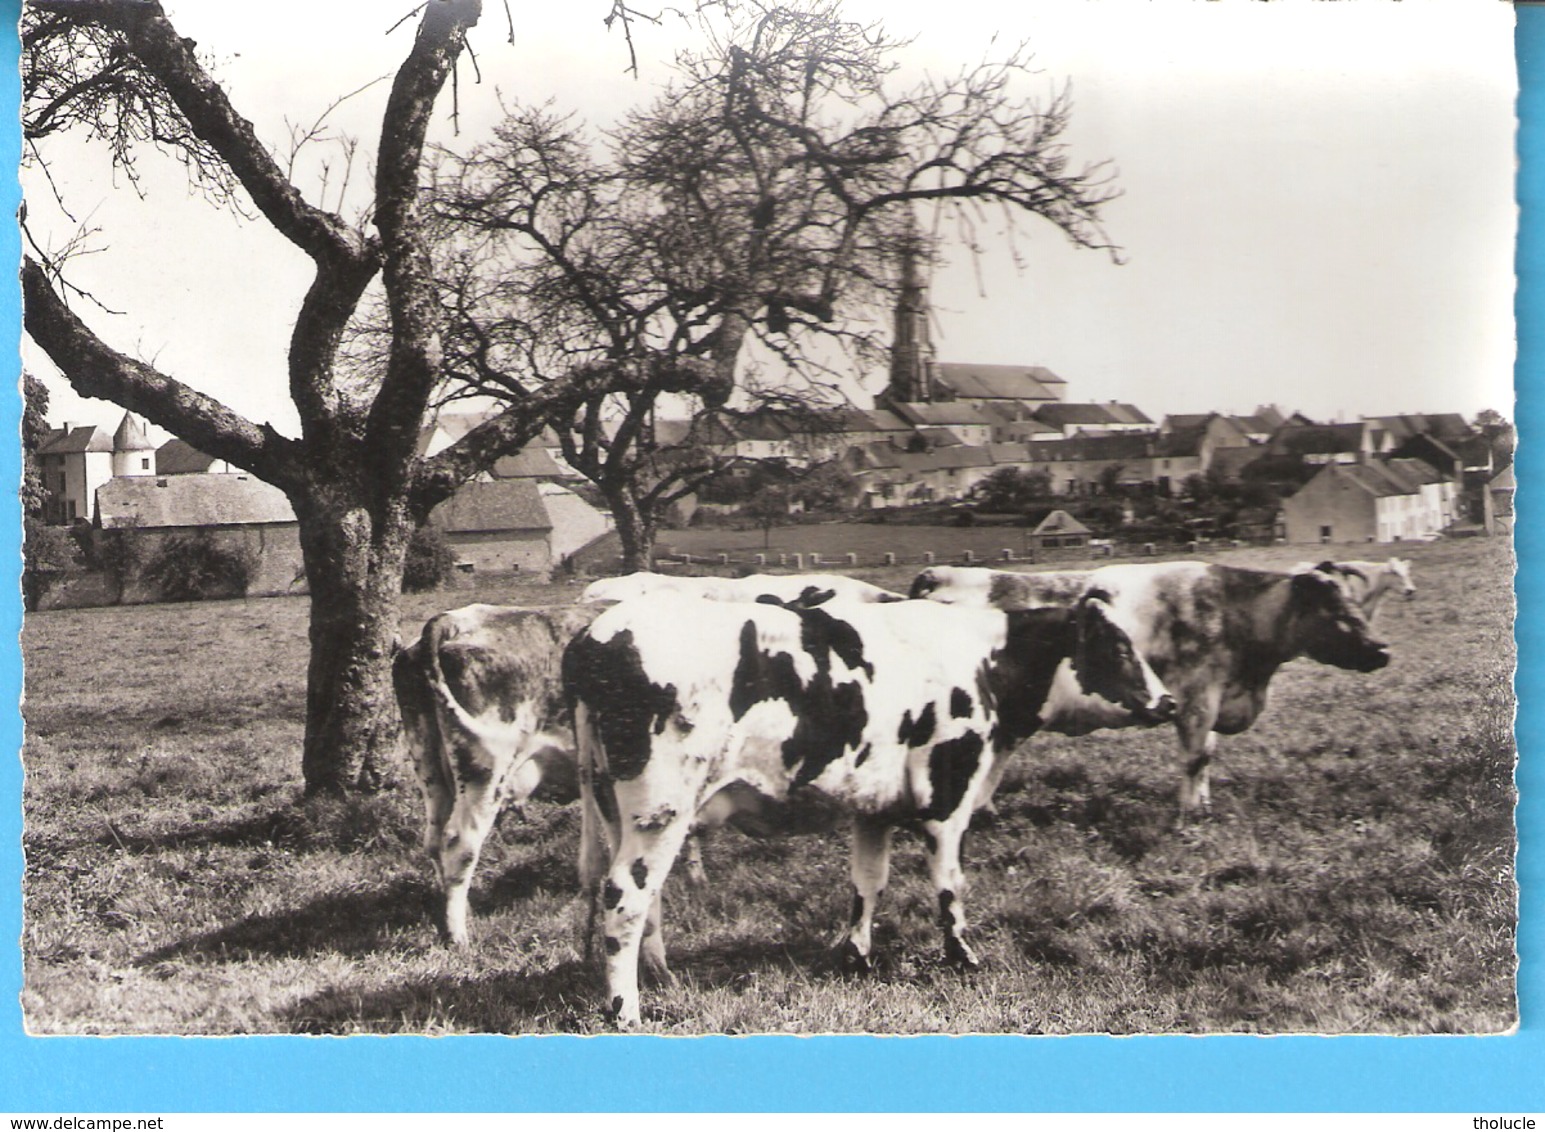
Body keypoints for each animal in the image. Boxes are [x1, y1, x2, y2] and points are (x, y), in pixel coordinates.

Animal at [392, 599, 602, 945]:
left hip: (427, 761)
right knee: (459, 842)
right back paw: (458, 936)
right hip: (486, 769)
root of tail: (452, 620)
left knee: (434, 840)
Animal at [559, 593, 1168, 1025]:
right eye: (1118, 649)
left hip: (618, 809)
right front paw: (963, 959)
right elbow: (950, 884)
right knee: (626, 894)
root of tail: (595, 635)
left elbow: (868, 882)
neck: (985, 666)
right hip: (660, 807)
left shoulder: (874, 805)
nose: (1169, 702)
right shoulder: (948, 793)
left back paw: (662, 978)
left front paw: (857, 958)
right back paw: (627, 1012)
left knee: (642, 896)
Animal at [908, 562, 1396, 815]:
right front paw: (1190, 815)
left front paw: (1202, 805)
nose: (1382, 649)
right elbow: (1195, 757)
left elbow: (1206, 756)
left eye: (1354, 599)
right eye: (1332, 607)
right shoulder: (1198, 699)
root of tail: (940, 574)